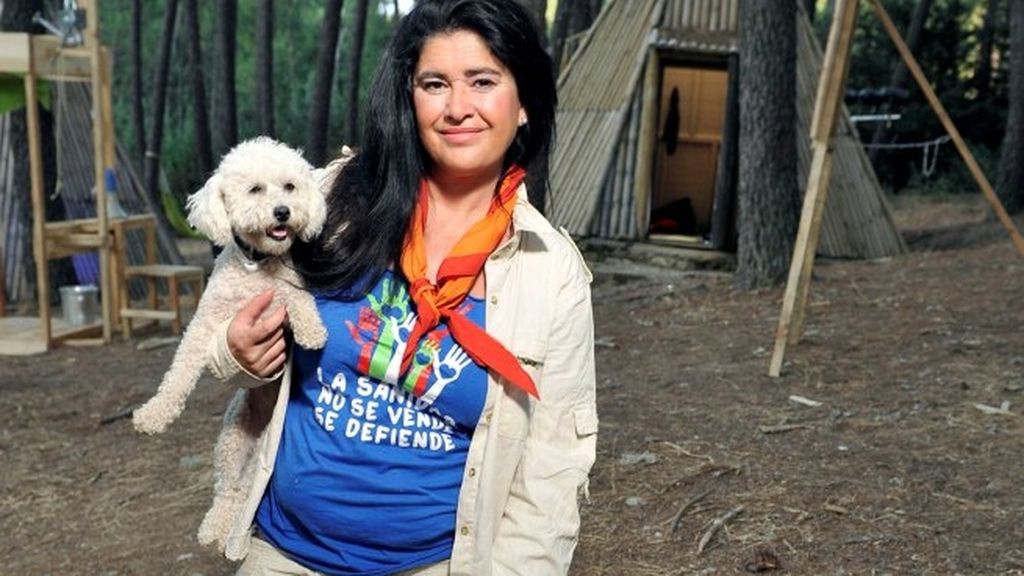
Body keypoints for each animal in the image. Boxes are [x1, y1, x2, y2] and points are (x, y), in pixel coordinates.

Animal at [131, 135, 348, 553]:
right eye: (255, 189)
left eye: (290, 187)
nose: (282, 212)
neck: (255, 266)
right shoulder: (204, 326)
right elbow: (179, 373)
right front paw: (154, 414)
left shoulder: (286, 293)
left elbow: (298, 300)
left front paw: (313, 331)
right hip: (231, 441)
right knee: (226, 490)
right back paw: (213, 528)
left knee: (241, 490)